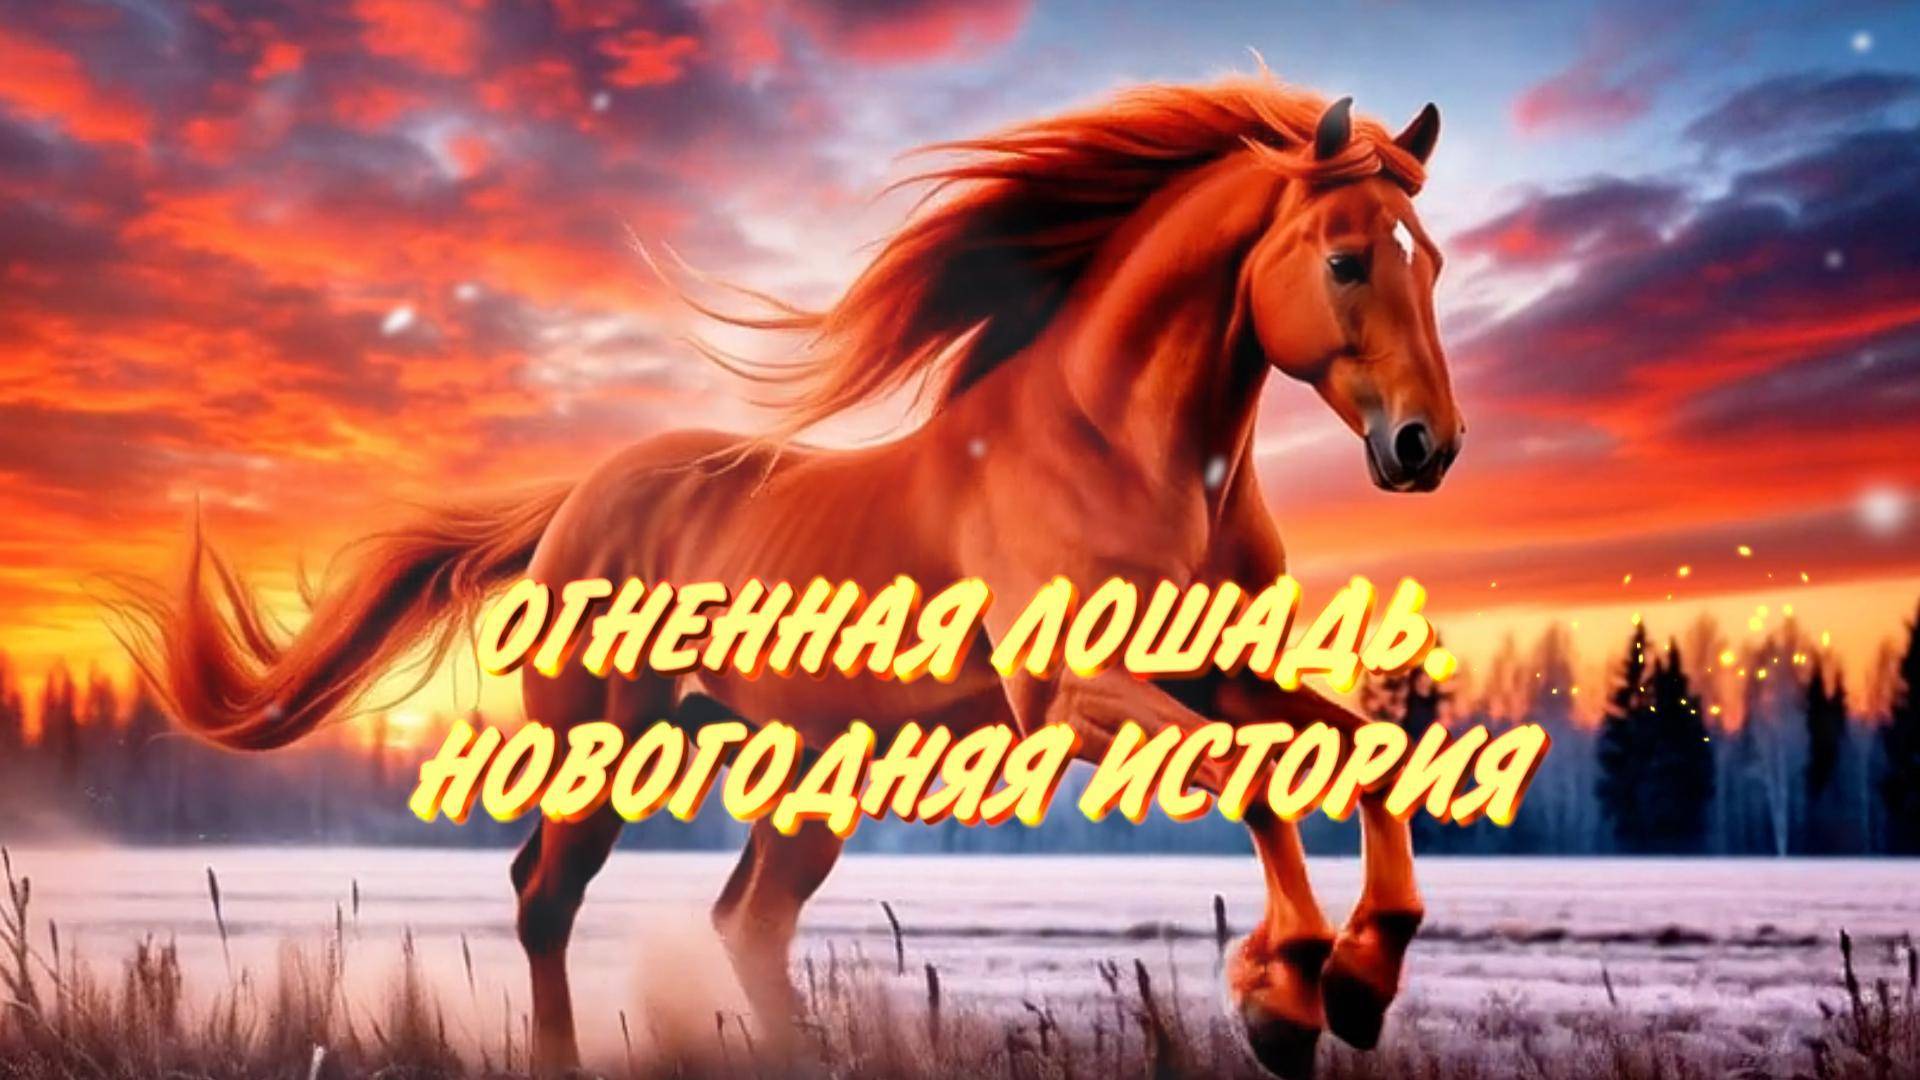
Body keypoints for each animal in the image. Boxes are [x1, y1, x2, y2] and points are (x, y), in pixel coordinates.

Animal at [125, 75, 1461, 1079]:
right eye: (1348, 259)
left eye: (1435, 262)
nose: (1426, 448)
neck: (1122, 448)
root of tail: (578, 499)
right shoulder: (1068, 698)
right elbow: (1260, 778)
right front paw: (1285, 1004)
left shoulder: (1218, 669)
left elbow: (1366, 756)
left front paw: (1358, 980)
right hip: (602, 748)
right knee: (545, 897)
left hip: (804, 773)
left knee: (746, 922)